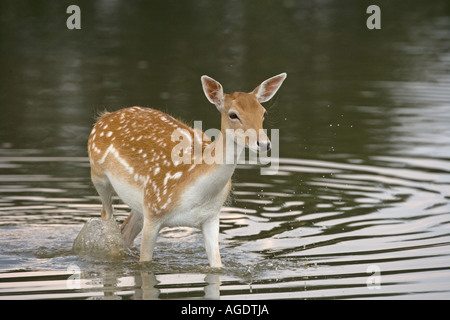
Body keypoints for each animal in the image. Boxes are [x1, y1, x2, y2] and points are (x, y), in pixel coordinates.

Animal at [86, 73, 286, 268]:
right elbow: (145, 264)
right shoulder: (154, 213)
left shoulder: (211, 217)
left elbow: (217, 266)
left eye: (263, 113)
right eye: (233, 114)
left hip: (140, 203)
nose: (265, 144)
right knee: (106, 217)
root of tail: (104, 116)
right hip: (100, 177)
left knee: (126, 231)